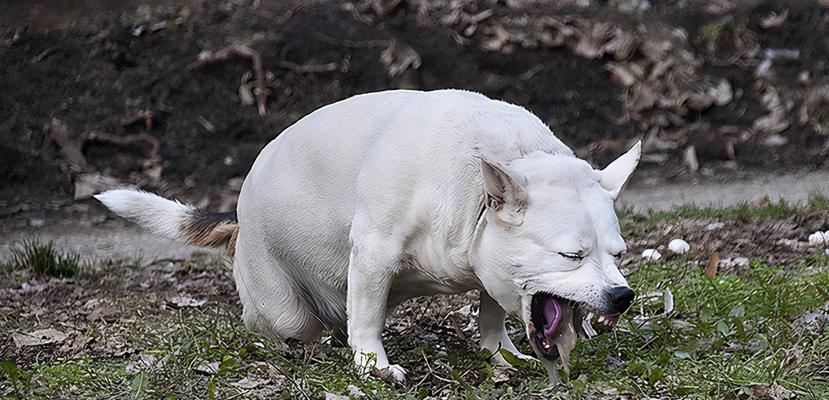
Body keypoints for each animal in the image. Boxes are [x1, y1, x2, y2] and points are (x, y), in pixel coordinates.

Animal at [98, 90, 640, 384]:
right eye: (571, 255)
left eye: (619, 255)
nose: (622, 296)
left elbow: (490, 312)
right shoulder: (375, 254)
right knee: (280, 322)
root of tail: (238, 220)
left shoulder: (491, 263)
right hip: (283, 307)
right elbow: (367, 320)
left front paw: (498, 351)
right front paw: (372, 366)